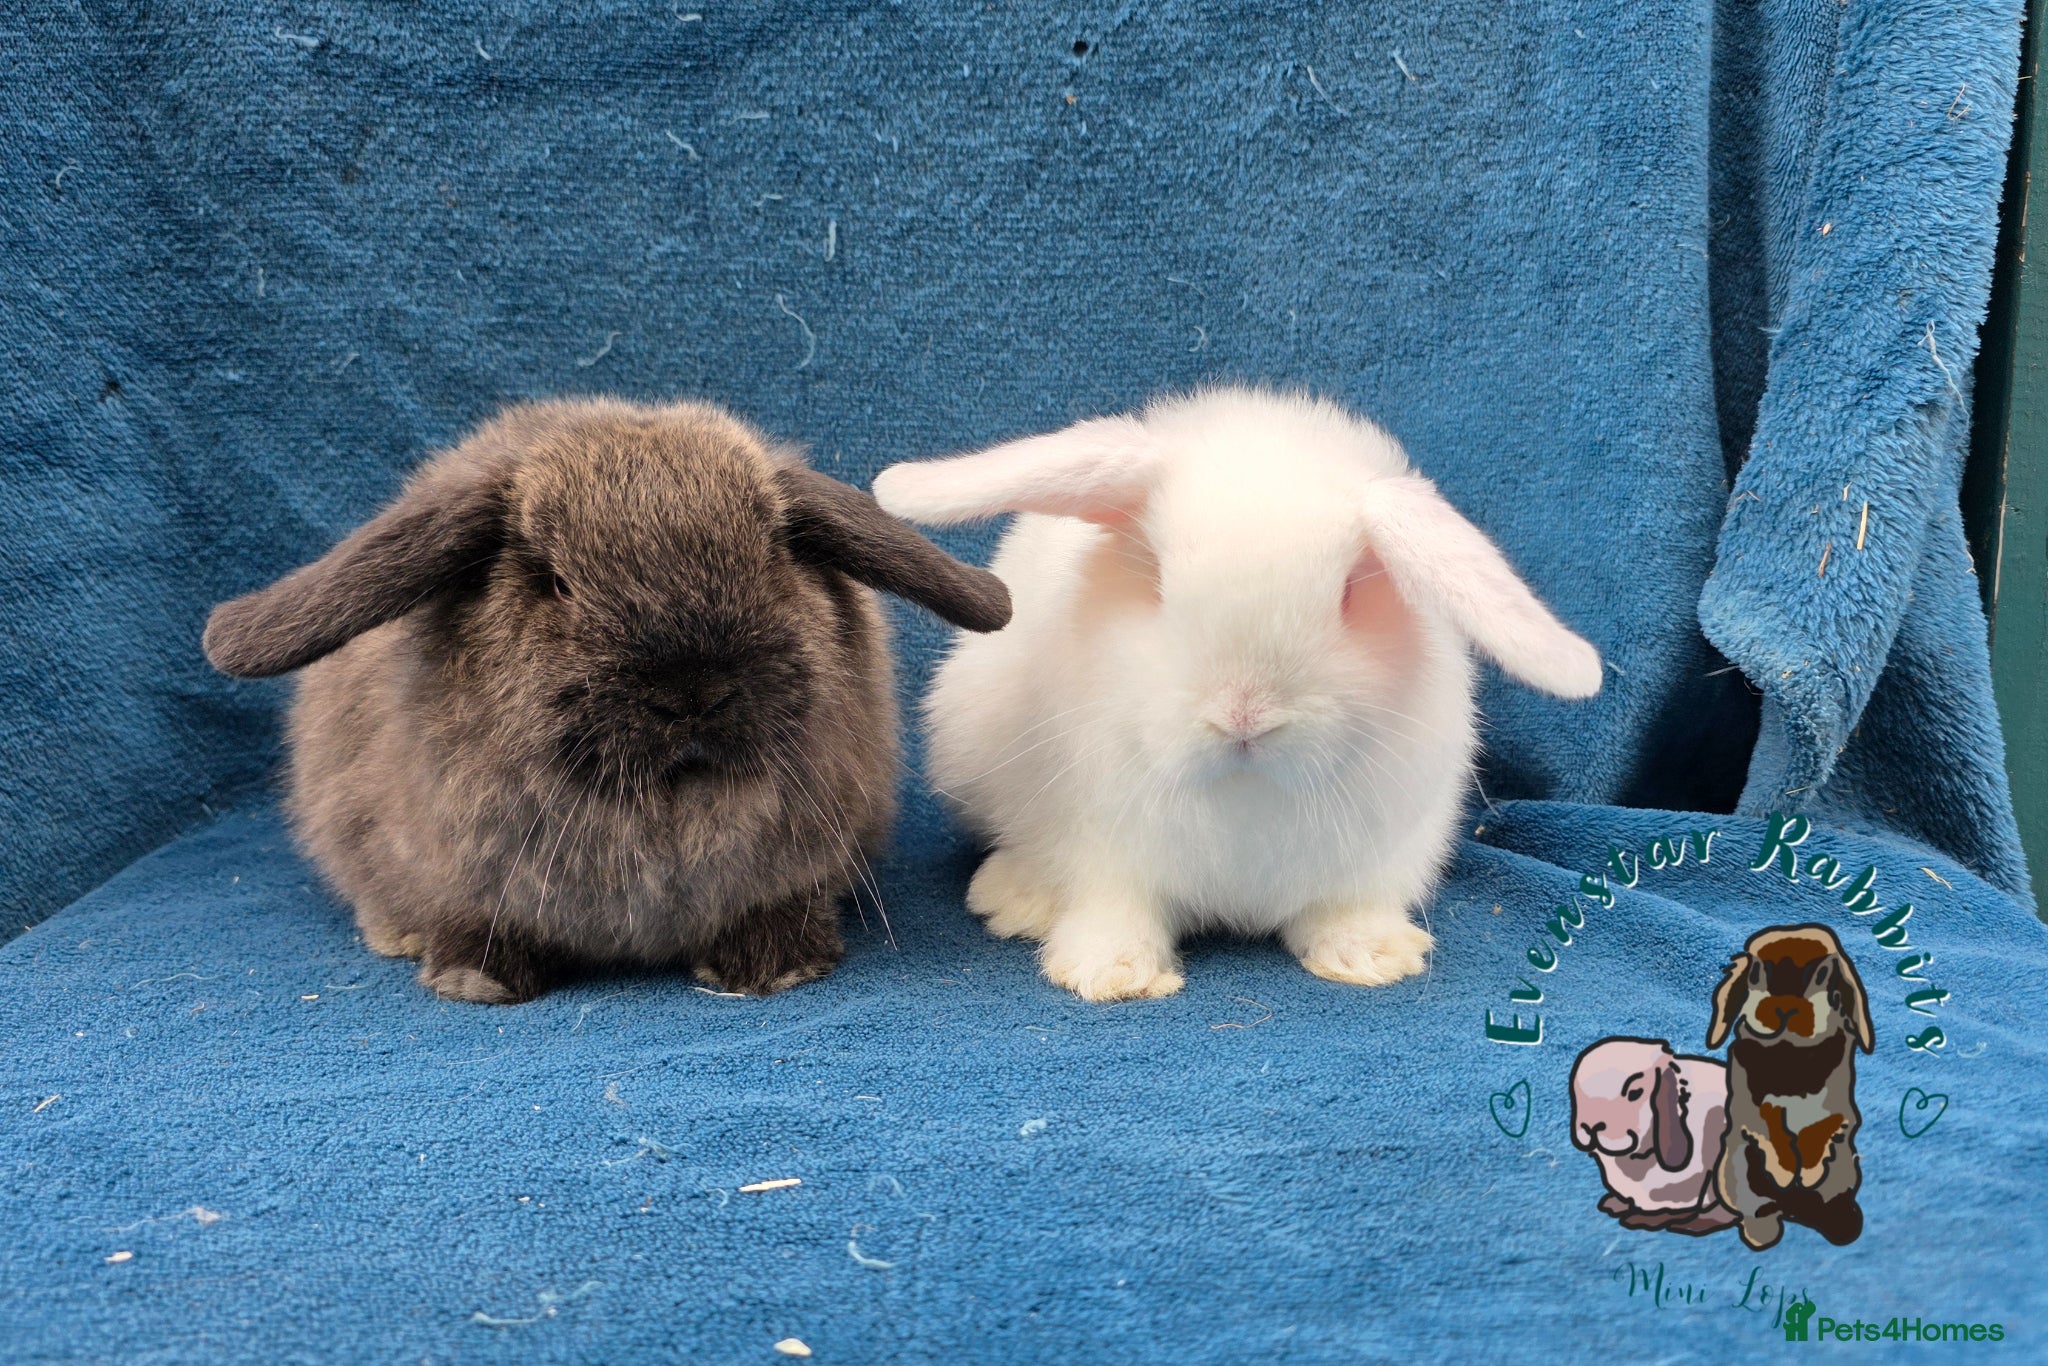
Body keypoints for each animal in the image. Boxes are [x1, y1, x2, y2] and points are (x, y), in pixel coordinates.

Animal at [203, 397, 1011, 1004]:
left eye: (774, 557)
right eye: (555, 583)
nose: (692, 694)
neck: (667, 807)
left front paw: (777, 967)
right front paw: (474, 979)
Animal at [871, 387, 1600, 1002]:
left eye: (1347, 594)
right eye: (1157, 582)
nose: (1244, 714)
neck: (1244, 793)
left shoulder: (1380, 856)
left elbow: (1347, 907)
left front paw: (1369, 957)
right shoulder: (1104, 852)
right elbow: (1115, 907)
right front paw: (1111, 973)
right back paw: (1013, 899)